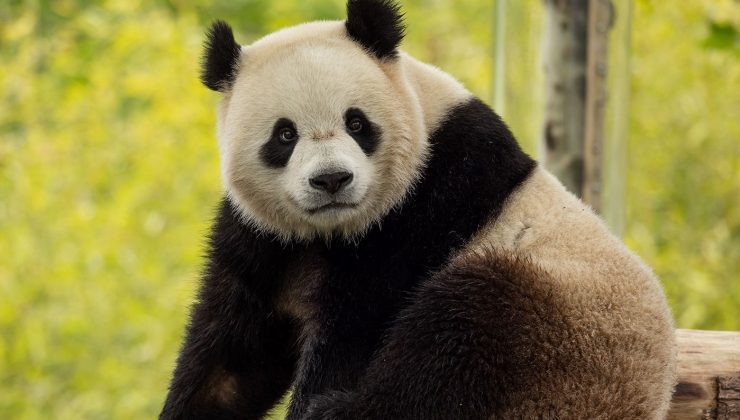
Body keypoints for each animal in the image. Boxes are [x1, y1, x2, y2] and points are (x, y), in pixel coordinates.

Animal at [161, 0, 676, 419]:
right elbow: (232, 356)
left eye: (357, 123)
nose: (331, 180)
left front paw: (315, 401)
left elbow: (355, 331)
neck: (330, 231)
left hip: (562, 328)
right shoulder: (263, 236)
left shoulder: (424, 206)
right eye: (284, 135)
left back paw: (341, 412)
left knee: (461, 336)